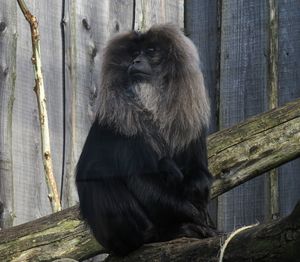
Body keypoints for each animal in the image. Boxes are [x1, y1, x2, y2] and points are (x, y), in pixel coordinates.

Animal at [76, 23, 214, 256]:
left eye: (150, 51)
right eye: (134, 54)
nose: (136, 61)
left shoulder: (191, 120)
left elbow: (200, 173)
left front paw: (200, 203)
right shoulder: (123, 122)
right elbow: (142, 181)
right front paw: (198, 218)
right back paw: (164, 234)